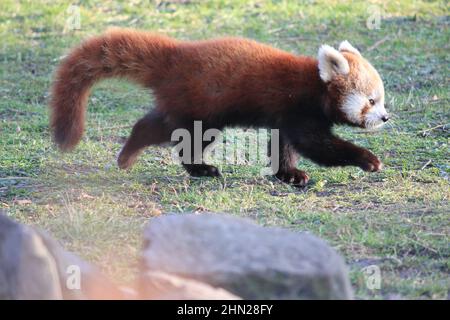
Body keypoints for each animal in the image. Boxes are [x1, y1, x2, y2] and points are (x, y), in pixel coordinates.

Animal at [48, 29, 386, 188]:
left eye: (381, 99)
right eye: (371, 100)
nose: (385, 117)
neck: (313, 85)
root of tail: (177, 55)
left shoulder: (286, 117)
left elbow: (284, 147)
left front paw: (289, 174)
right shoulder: (299, 110)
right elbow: (318, 146)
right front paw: (368, 159)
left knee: (151, 124)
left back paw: (128, 154)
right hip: (202, 107)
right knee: (183, 138)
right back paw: (200, 168)